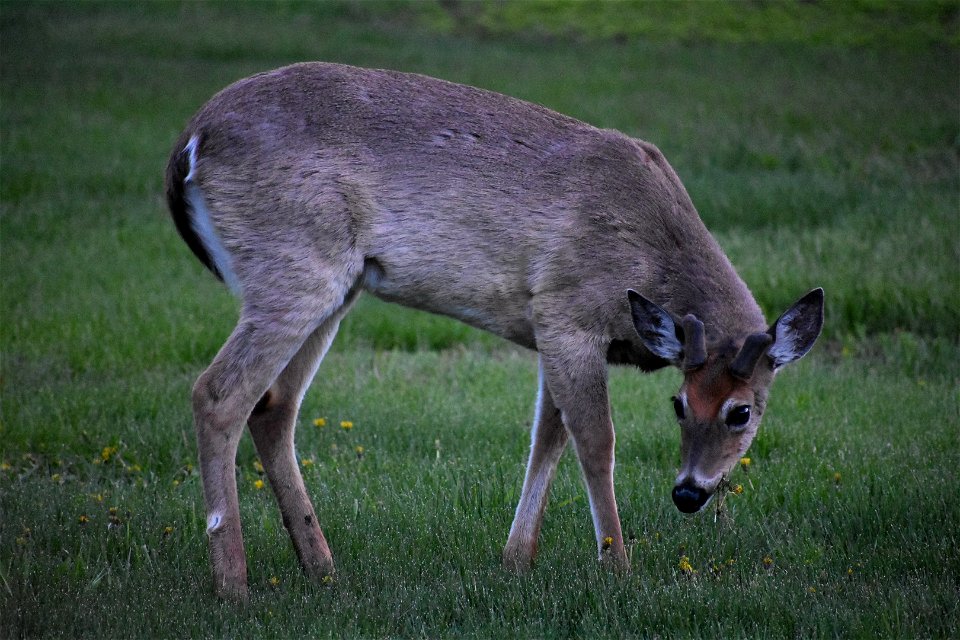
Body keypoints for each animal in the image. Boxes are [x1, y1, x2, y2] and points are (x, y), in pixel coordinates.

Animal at [165, 62, 824, 596]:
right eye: (681, 404)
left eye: (743, 412)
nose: (689, 492)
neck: (652, 252)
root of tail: (190, 141)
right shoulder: (567, 311)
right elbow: (595, 442)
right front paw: (618, 569)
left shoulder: (552, 331)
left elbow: (547, 438)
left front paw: (516, 560)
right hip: (295, 263)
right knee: (218, 394)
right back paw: (234, 585)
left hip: (335, 287)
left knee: (274, 406)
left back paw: (322, 569)